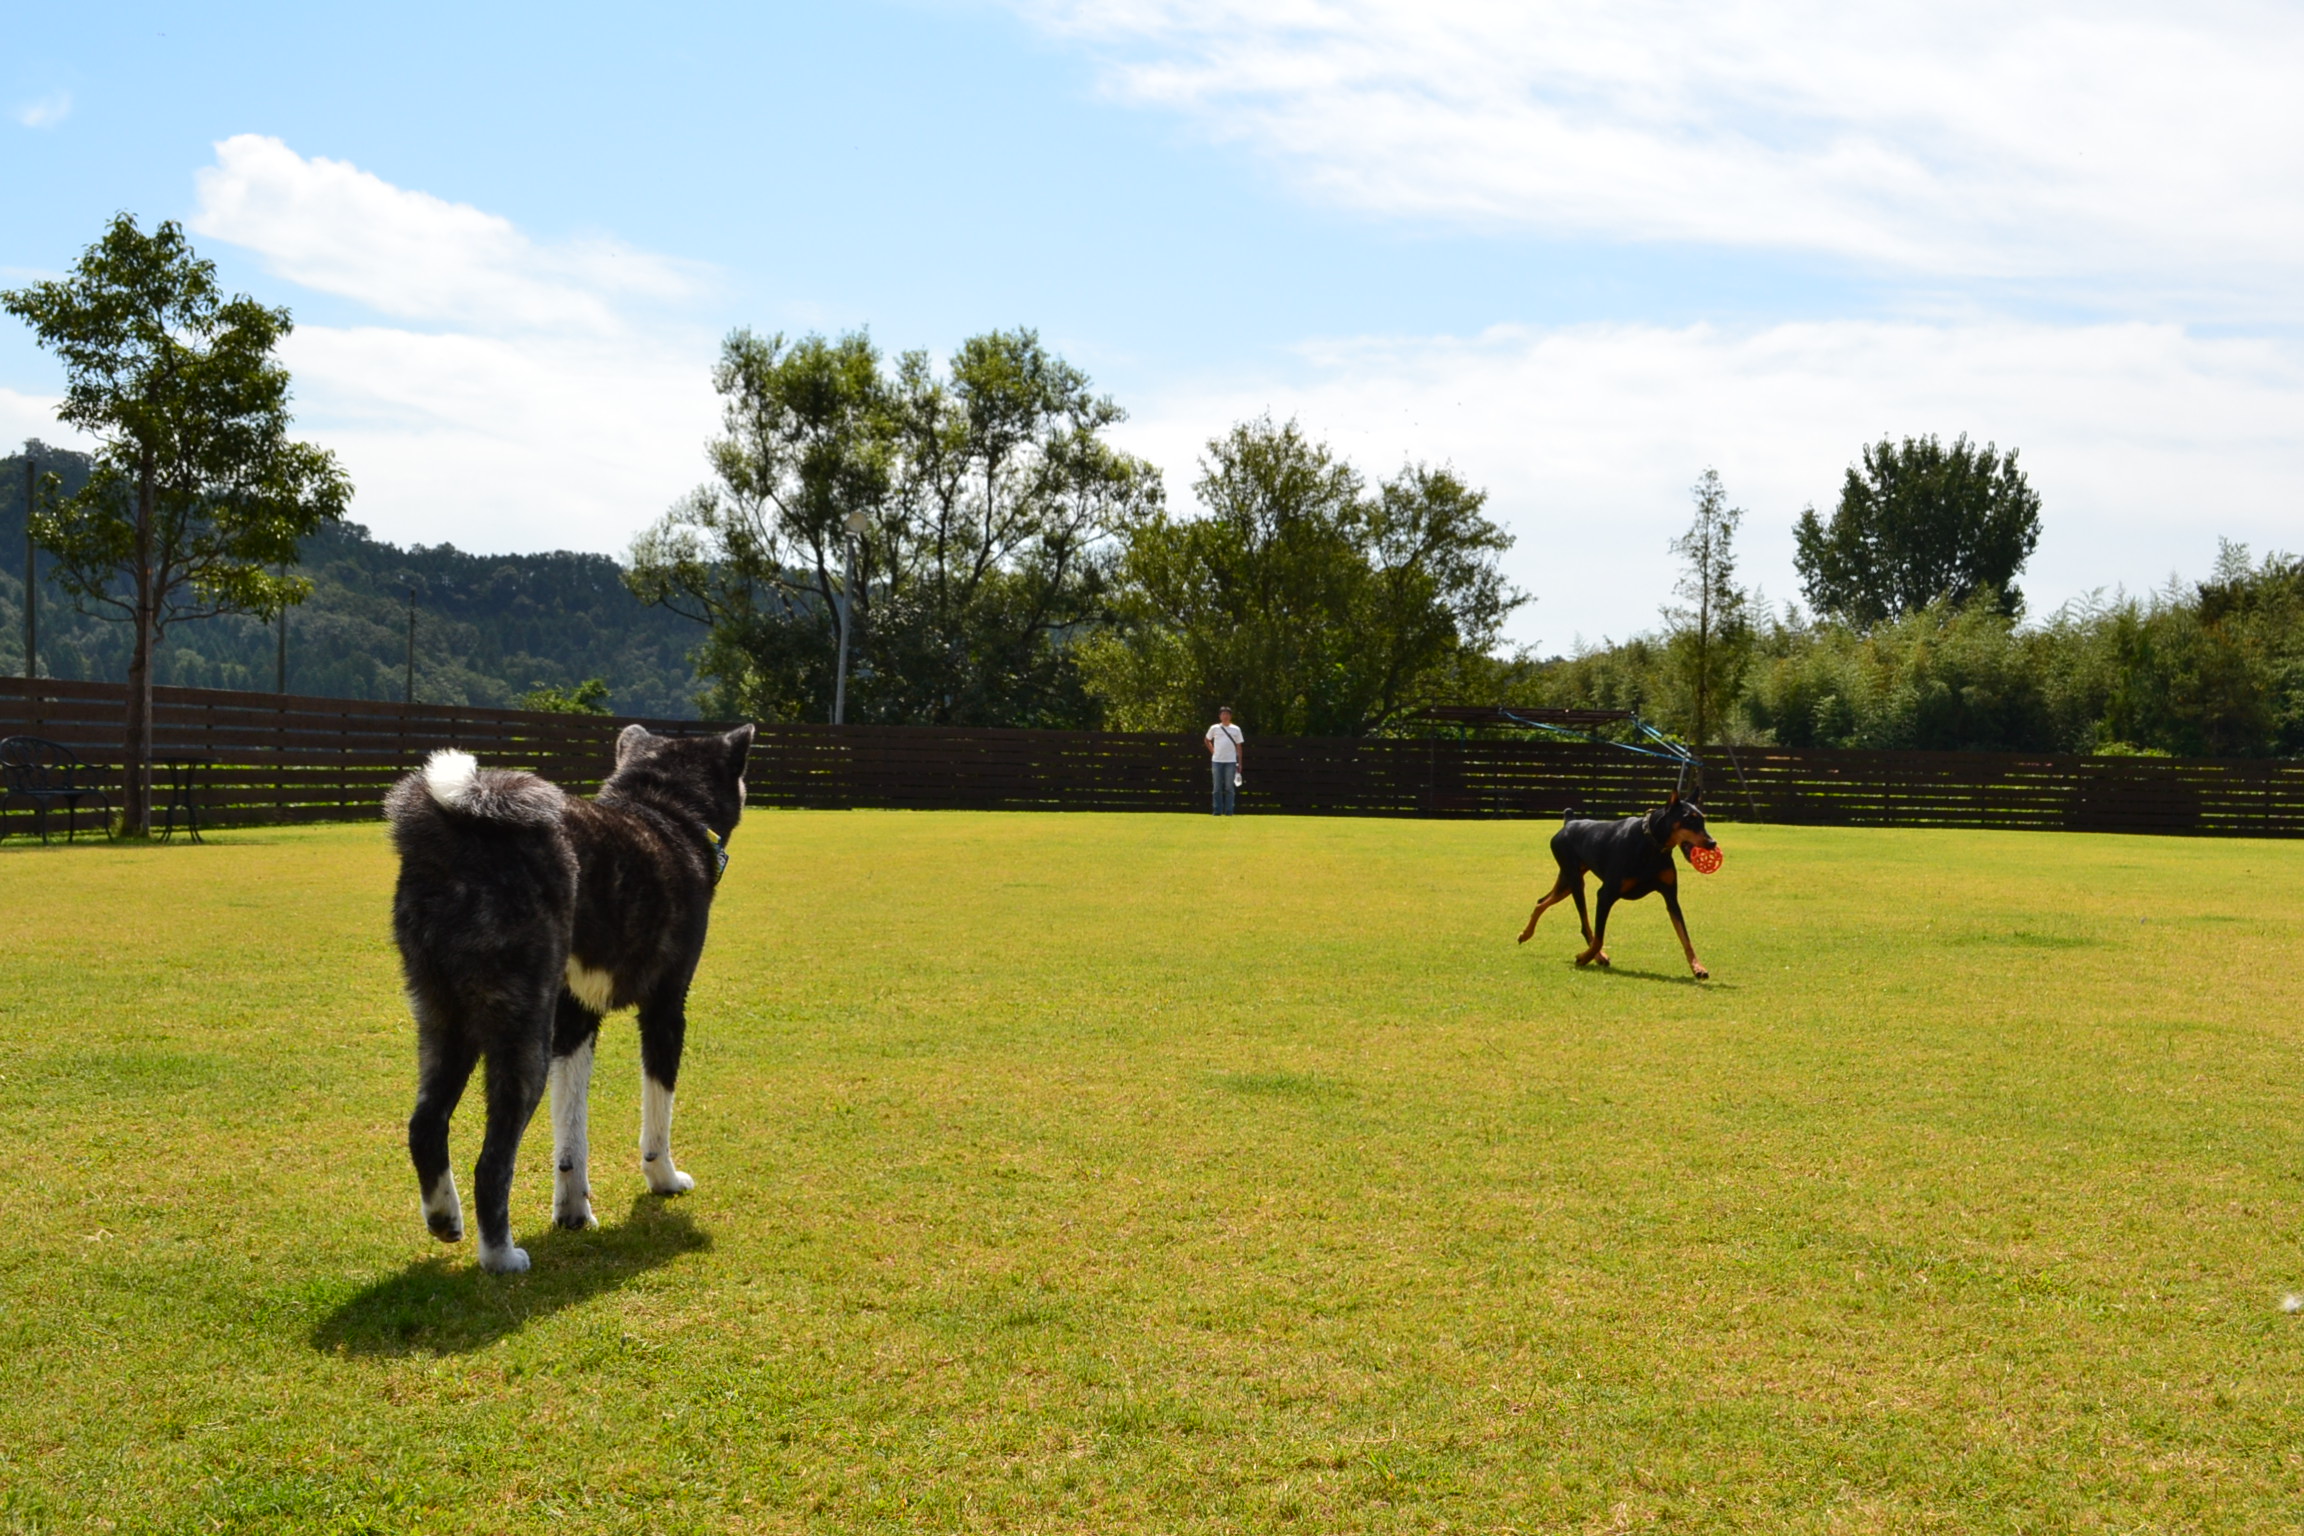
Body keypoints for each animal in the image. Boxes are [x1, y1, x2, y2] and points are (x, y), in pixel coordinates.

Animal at [387, 723, 755, 1271]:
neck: (664, 809)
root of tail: (457, 832)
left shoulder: (577, 1022)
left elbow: (571, 1136)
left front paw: (573, 1212)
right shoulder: (666, 1011)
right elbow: (657, 1115)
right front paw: (663, 1179)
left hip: (444, 1020)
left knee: (426, 1126)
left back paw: (444, 1219)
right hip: (524, 1036)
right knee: (492, 1162)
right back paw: (501, 1256)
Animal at [1520, 801, 1723, 981]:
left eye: (1703, 820)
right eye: (1688, 820)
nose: (1712, 843)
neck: (1651, 845)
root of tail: (1569, 822)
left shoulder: (1671, 897)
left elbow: (1685, 937)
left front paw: (1698, 968)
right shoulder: (1606, 894)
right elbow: (1599, 938)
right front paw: (1584, 958)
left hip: (1567, 882)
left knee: (1542, 901)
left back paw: (1525, 934)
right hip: (1575, 879)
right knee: (1585, 924)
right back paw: (1597, 956)